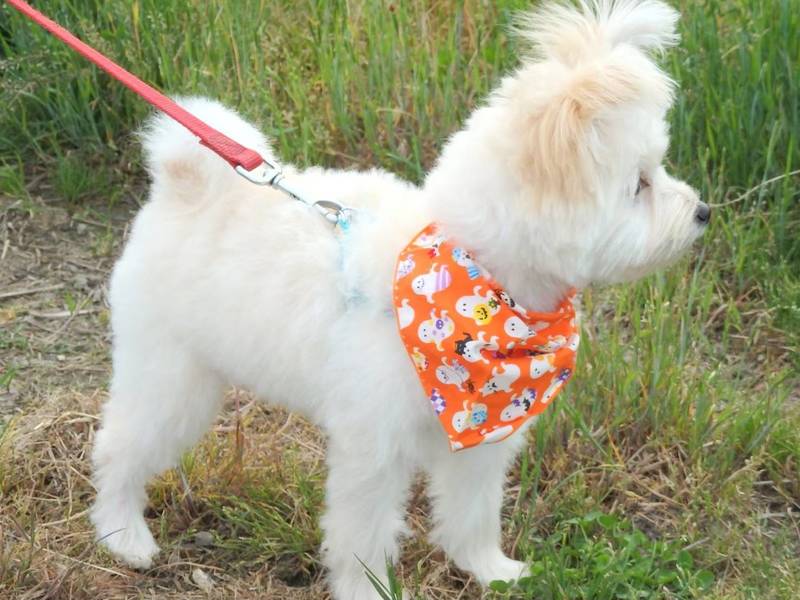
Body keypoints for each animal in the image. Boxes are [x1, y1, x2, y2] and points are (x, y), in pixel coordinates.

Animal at [89, 1, 708, 598]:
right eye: (639, 185)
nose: (703, 212)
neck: (477, 284)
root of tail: (187, 187)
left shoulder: (483, 438)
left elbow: (473, 514)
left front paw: (488, 570)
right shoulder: (373, 450)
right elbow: (362, 538)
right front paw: (368, 591)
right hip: (171, 381)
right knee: (119, 447)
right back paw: (123, 534)